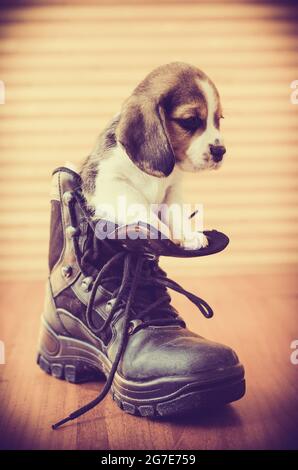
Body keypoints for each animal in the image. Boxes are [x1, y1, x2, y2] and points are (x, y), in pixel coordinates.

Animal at [81, 61, 226, 250]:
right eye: (190, 120)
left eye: (219, 119)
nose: (220, 151)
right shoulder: (107, 179)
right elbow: (138, 203)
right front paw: (158, 231)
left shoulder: (173, 189)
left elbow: (177, 211)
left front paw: (188, 235)